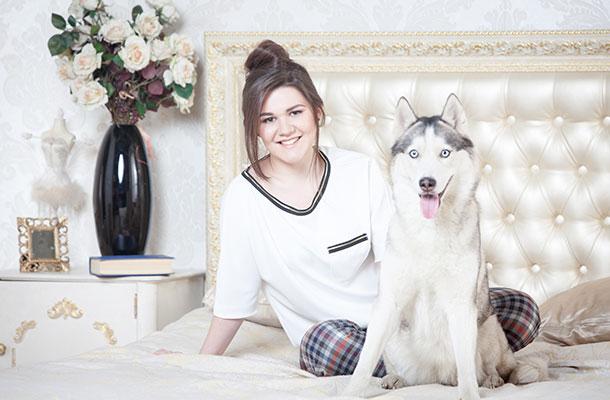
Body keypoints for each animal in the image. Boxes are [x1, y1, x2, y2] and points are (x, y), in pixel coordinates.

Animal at [343, 94, 545, 399]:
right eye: (414, 154)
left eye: (445, 153)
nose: (427, 182)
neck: (430, 231)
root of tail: (437, 376)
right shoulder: (389, 301)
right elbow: (365, 360)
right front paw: (351, 391)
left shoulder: (461, 303)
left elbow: (466, 364)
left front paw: (470, 393)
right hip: (395, 338)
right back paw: (395, 379)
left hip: (489, 326)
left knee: (490, 368)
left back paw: (491, 380)